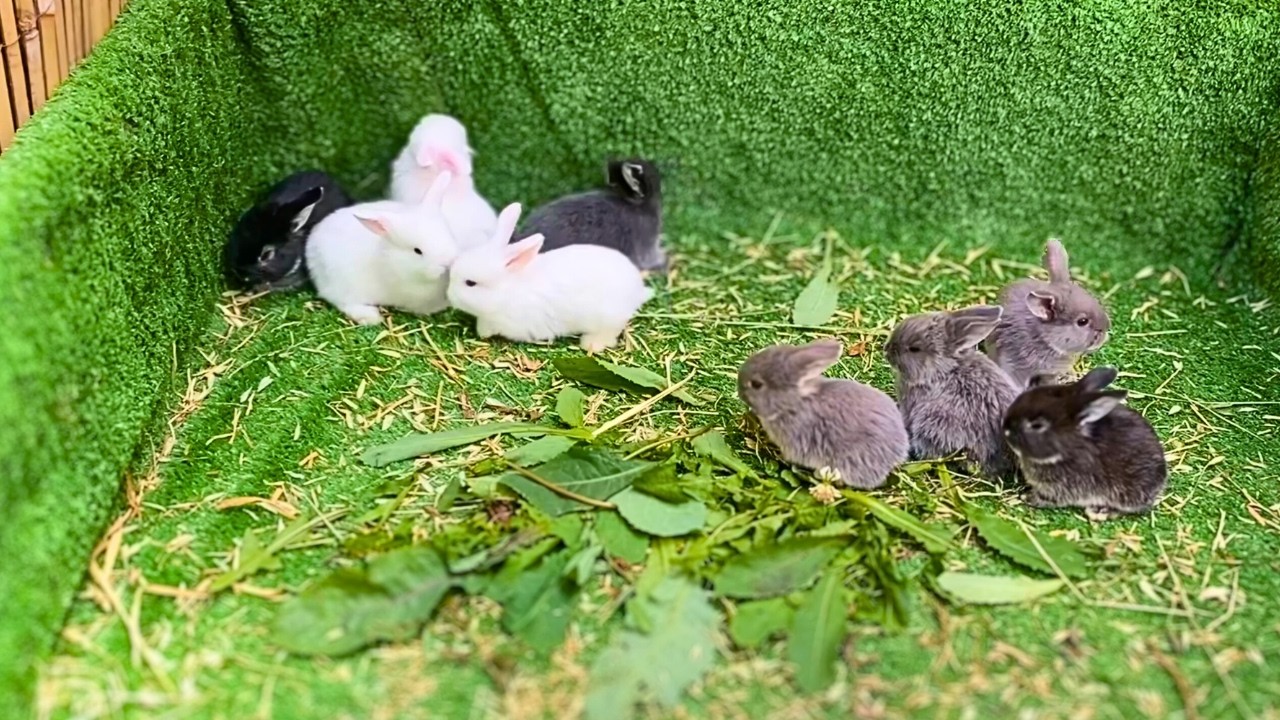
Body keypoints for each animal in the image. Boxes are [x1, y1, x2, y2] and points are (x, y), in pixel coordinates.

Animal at [306, 172, 461, 325]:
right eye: (417, 251)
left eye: (449, 235)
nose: (447, 264)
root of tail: (311, 247)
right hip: (344, 286)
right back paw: (370, 317)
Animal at [446, 202, 653, 352]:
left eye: (470, 283)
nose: (449, 295)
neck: (508, 290)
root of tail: (637, 289)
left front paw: (483, 333)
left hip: (607, 318)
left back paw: (591, 344)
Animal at [1002, 367, 1167, 521]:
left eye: (1037, 425)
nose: (1005, 429)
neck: (1065, 450)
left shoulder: (1062, 487)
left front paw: (1026, 497)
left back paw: (1099, 511)